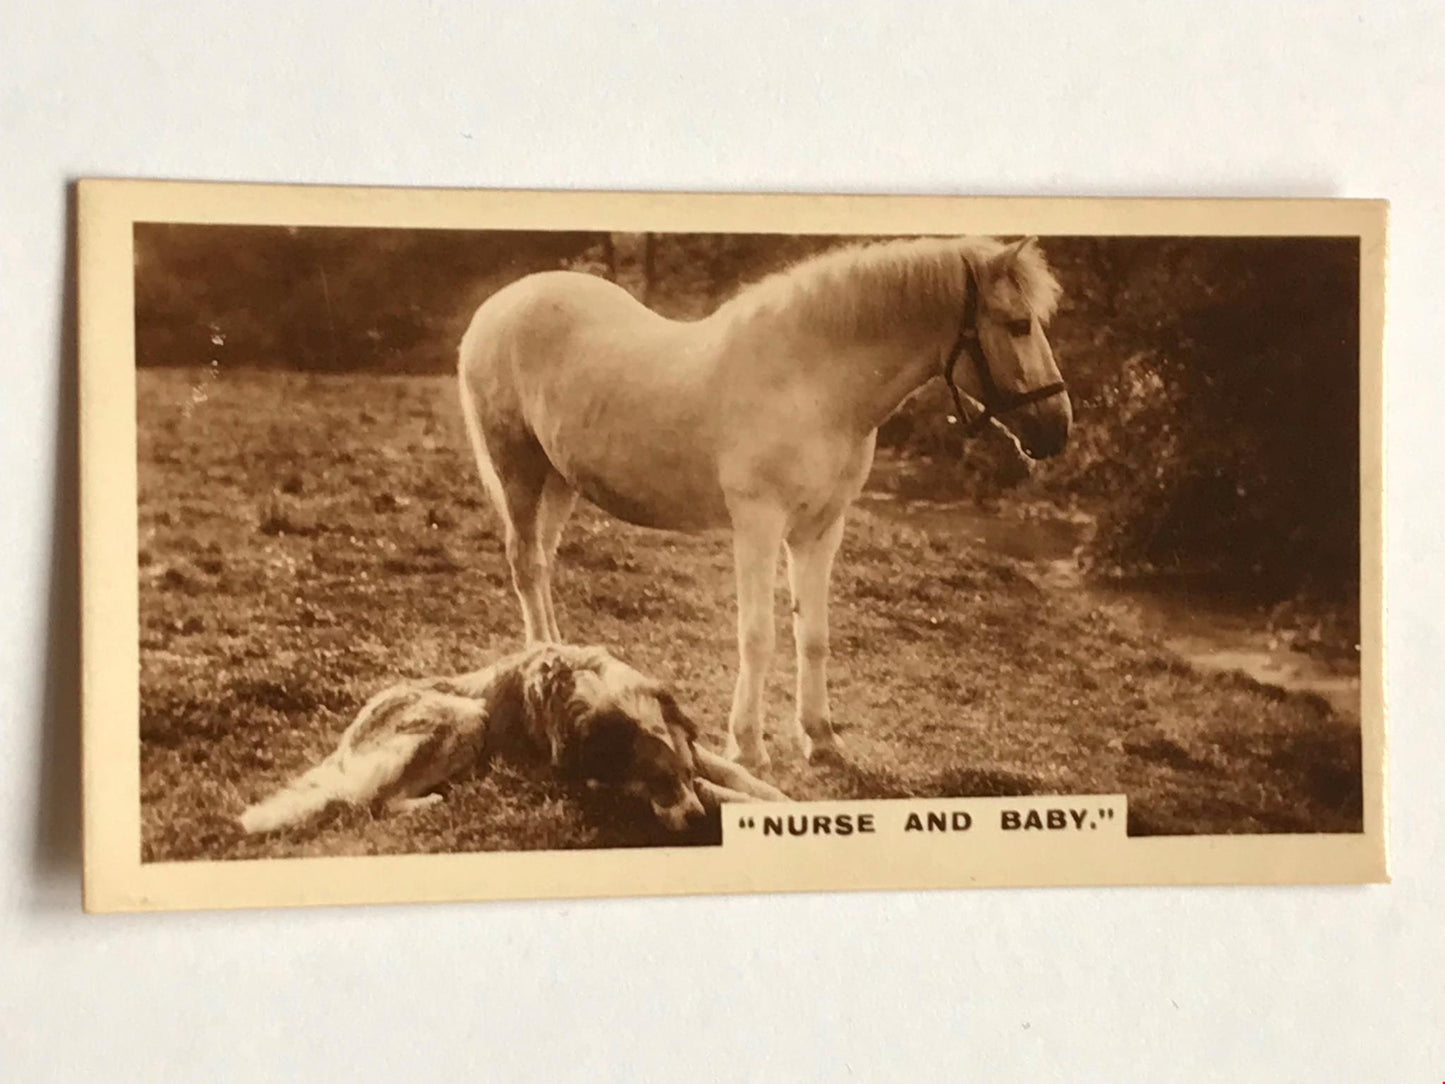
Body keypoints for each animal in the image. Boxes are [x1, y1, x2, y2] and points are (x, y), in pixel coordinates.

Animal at [244, 644, 797, 838]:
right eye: (656, 782)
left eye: (677, 773)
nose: (696, 822)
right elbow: (719, 791)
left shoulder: (690, 746)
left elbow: (733, 773)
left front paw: (782, 796)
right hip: (467, 717)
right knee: (373, 802)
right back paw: (431, 801)